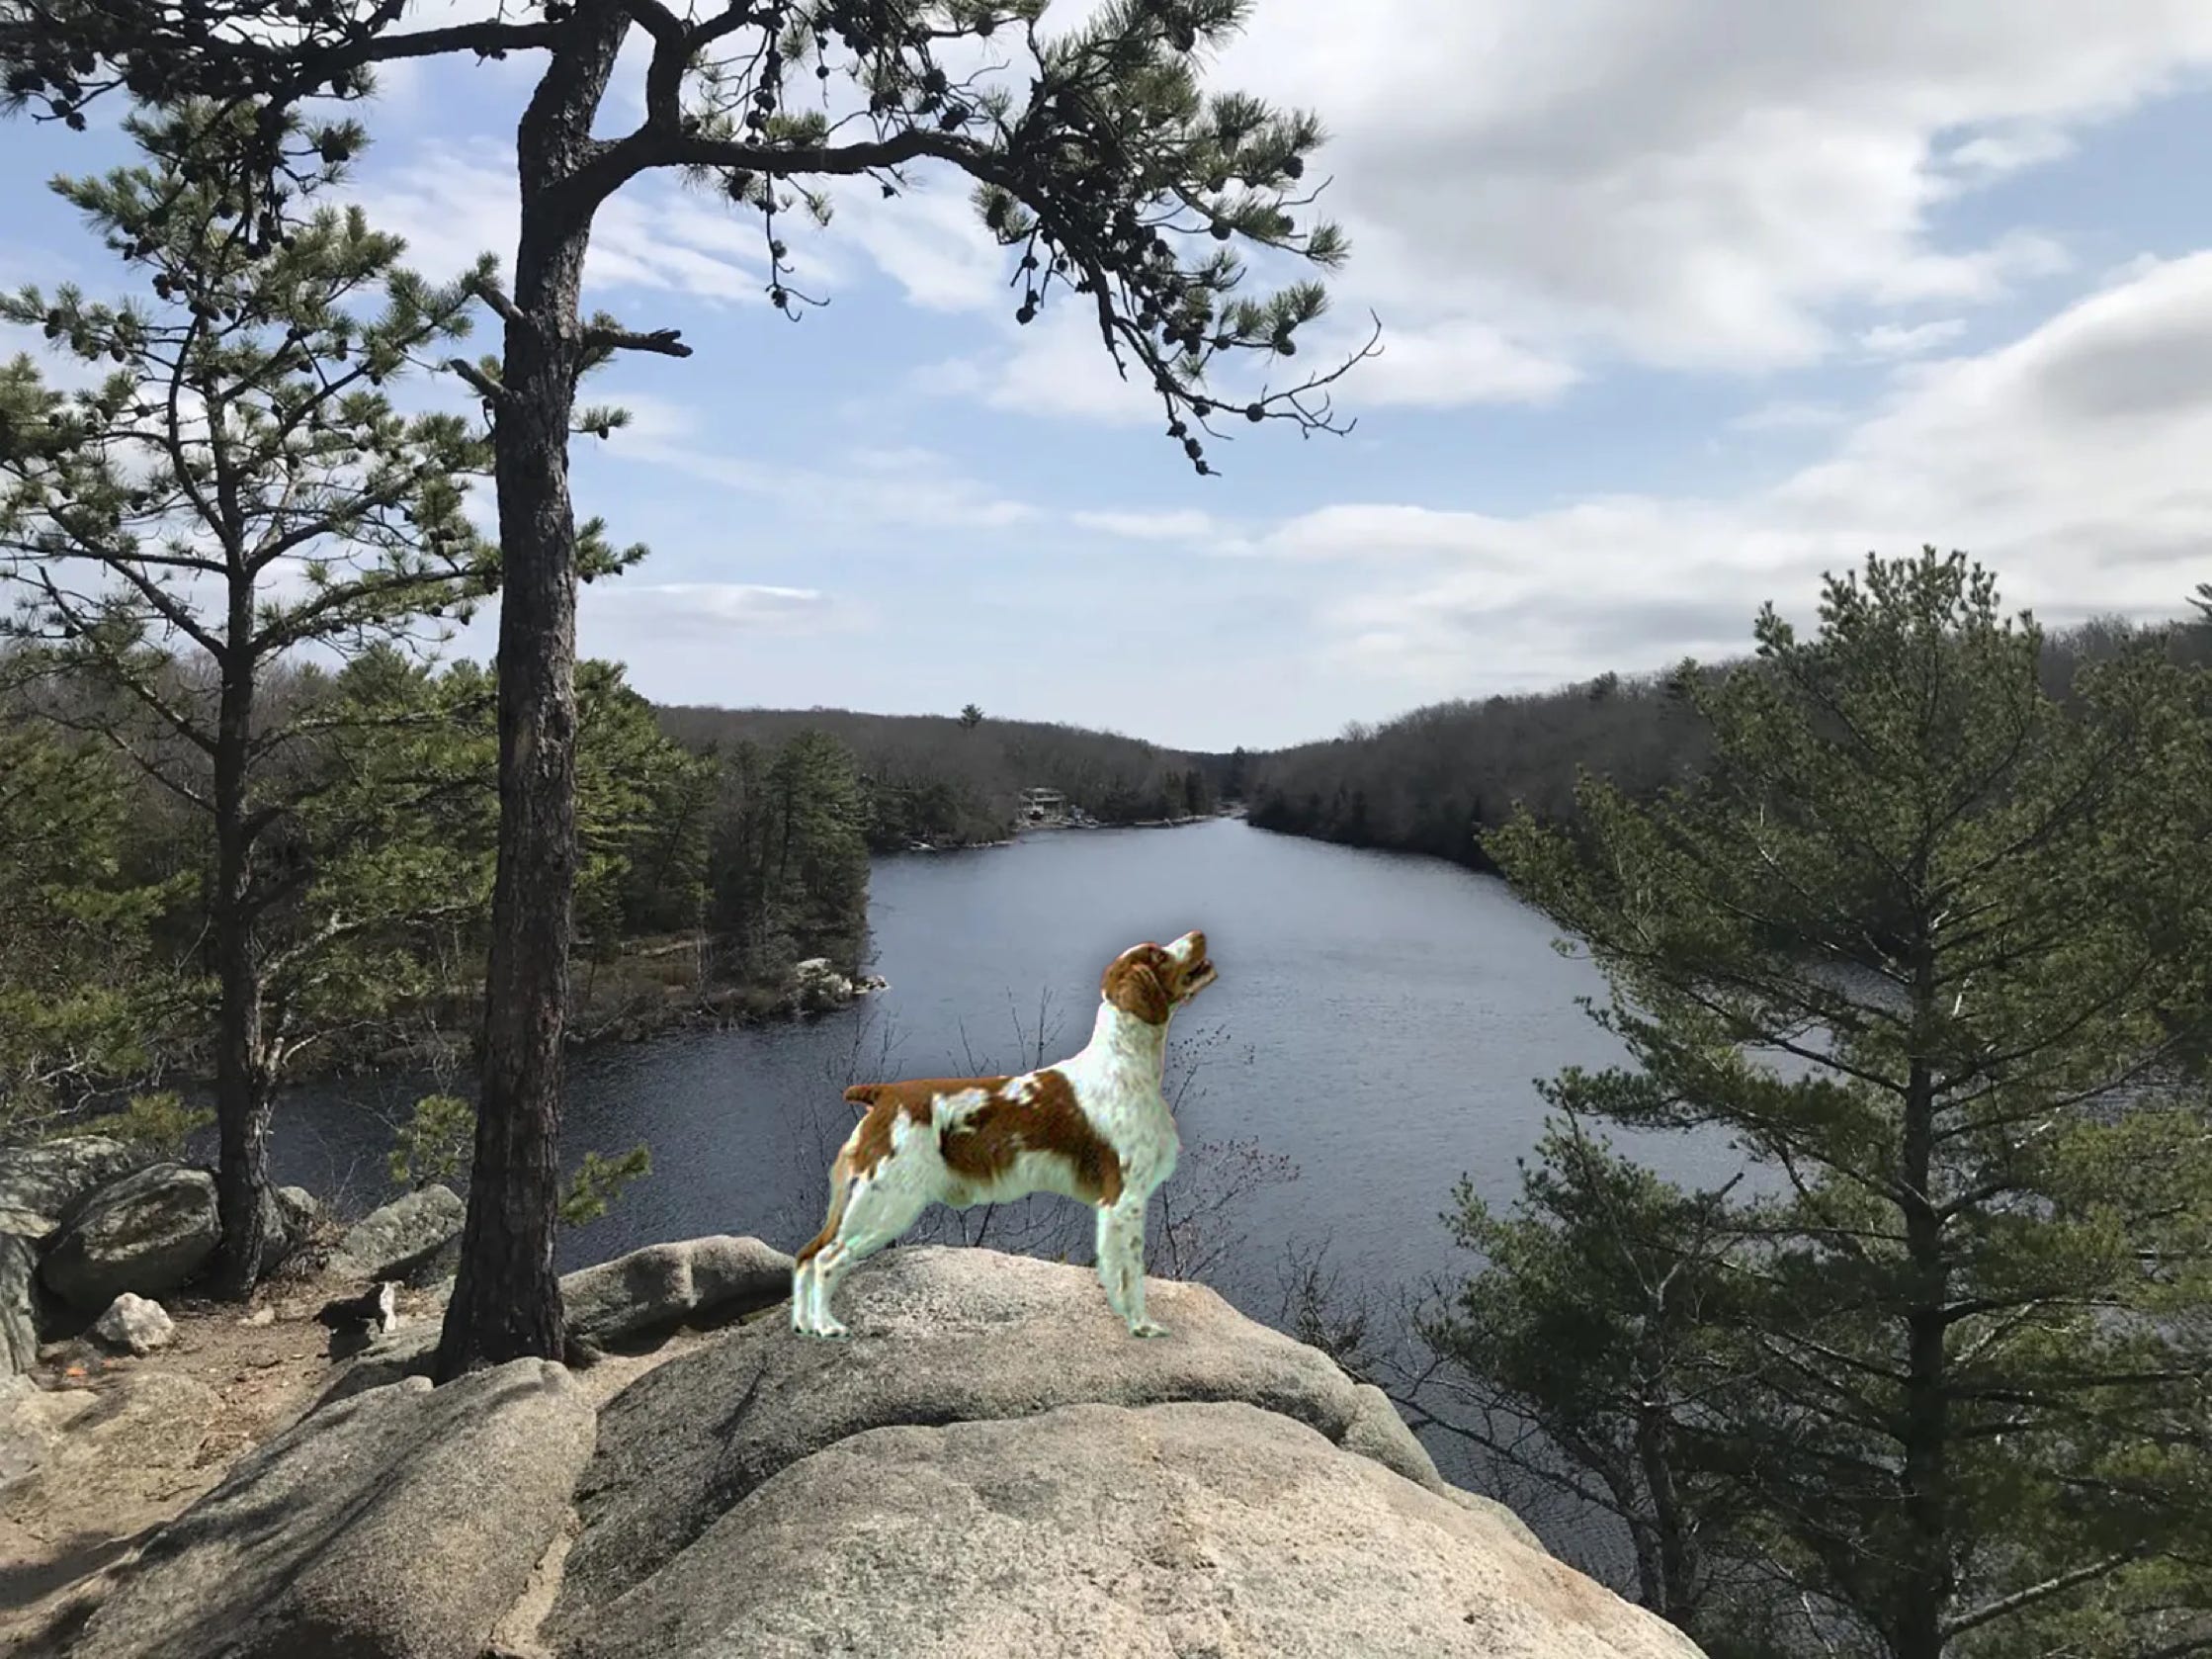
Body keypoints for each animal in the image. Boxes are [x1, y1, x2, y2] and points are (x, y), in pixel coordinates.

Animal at [791, 930, 1217, 1340]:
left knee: (806, 1255)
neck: (1124, 1064)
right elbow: (1130, 1274)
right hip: (887, 1201)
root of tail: (883, 1094)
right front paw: (1141, 1325)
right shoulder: (1124, 1198)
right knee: (827, 1259)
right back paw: (827, 1327)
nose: (1199, 933)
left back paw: (804, 1325)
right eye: (1158, 953)